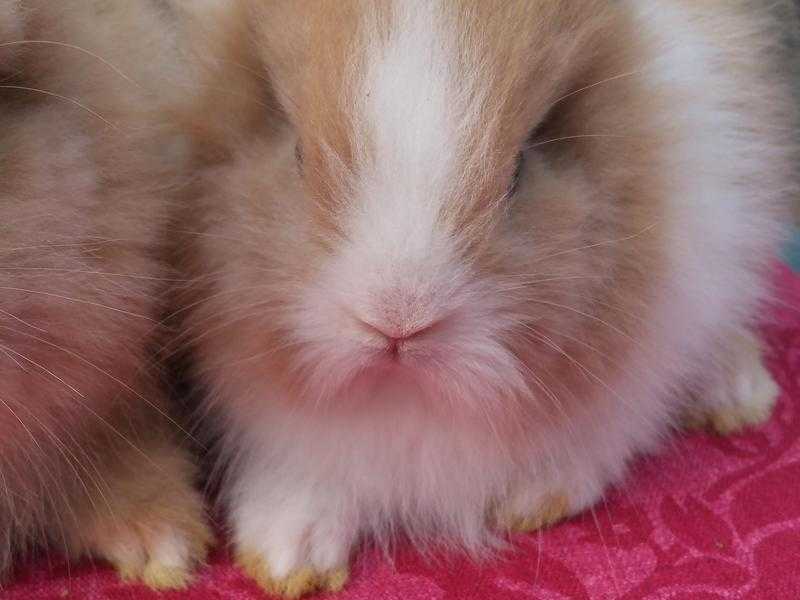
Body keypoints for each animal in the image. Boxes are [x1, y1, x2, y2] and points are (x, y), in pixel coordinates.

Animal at [172, 2, 796, 596]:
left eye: (520, 168)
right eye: (298, 153)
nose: (398, 321)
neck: (408, 401)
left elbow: (601, 440)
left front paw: (534, 498)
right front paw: (287, 552)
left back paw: (737, 391)